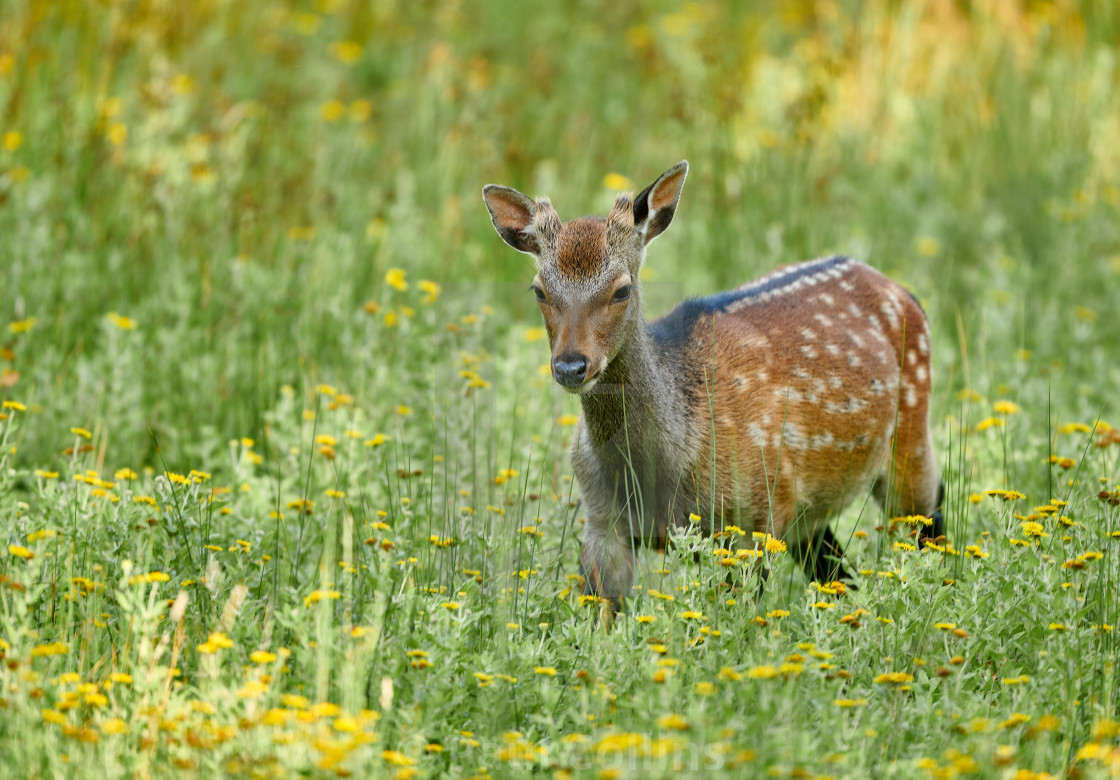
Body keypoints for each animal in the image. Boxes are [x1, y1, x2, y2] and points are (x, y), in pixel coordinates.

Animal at [481, 161, 945, 623]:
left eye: (622, 289)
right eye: (539, 290)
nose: (571, 366)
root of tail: (904, 291)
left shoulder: (755, 515)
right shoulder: (601, 522)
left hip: (909, 441)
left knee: (932, 521)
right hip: (805, 512)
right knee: (838, 574)